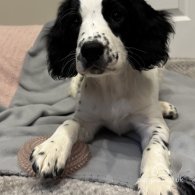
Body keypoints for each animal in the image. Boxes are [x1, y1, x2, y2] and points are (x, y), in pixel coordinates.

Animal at [30, 0, 181, 194]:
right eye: (75, 21)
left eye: (116, 14)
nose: (90, 50)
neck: (112, 85)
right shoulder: (87, 122)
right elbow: (69, 123)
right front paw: (50, 148)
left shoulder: (153, 125)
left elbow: (155, 146)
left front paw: (156, 180)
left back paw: (164, 107)